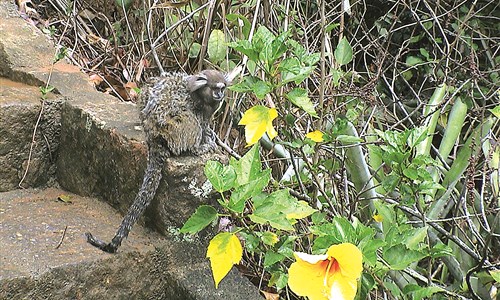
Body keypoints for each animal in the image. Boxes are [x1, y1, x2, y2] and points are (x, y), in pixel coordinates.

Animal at [86, 70, 229, 253]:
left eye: (222, 88)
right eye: (216, 89)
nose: (220, 94)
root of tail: (156, 136)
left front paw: (210, 135)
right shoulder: (200, 107)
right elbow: (199, 121)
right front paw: (206, 141)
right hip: (175, 129)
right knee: (189, 118)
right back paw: (197, 148)